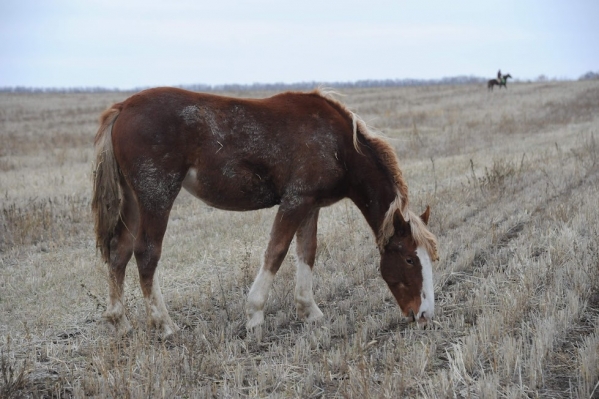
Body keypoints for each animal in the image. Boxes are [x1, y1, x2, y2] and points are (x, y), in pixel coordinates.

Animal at [94, 87, 440, 338]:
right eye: (409, 259)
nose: (424, 315)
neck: (339, 144)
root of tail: (123, 107)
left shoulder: (310, 205)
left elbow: (307, 252)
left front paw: (309, 311)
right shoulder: (295, 201)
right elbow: (276, 252)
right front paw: (255, 316)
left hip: (133, 201)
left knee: (119, 251)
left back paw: (119, 322)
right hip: (157, 196)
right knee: (146, 253)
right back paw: (164, 325)